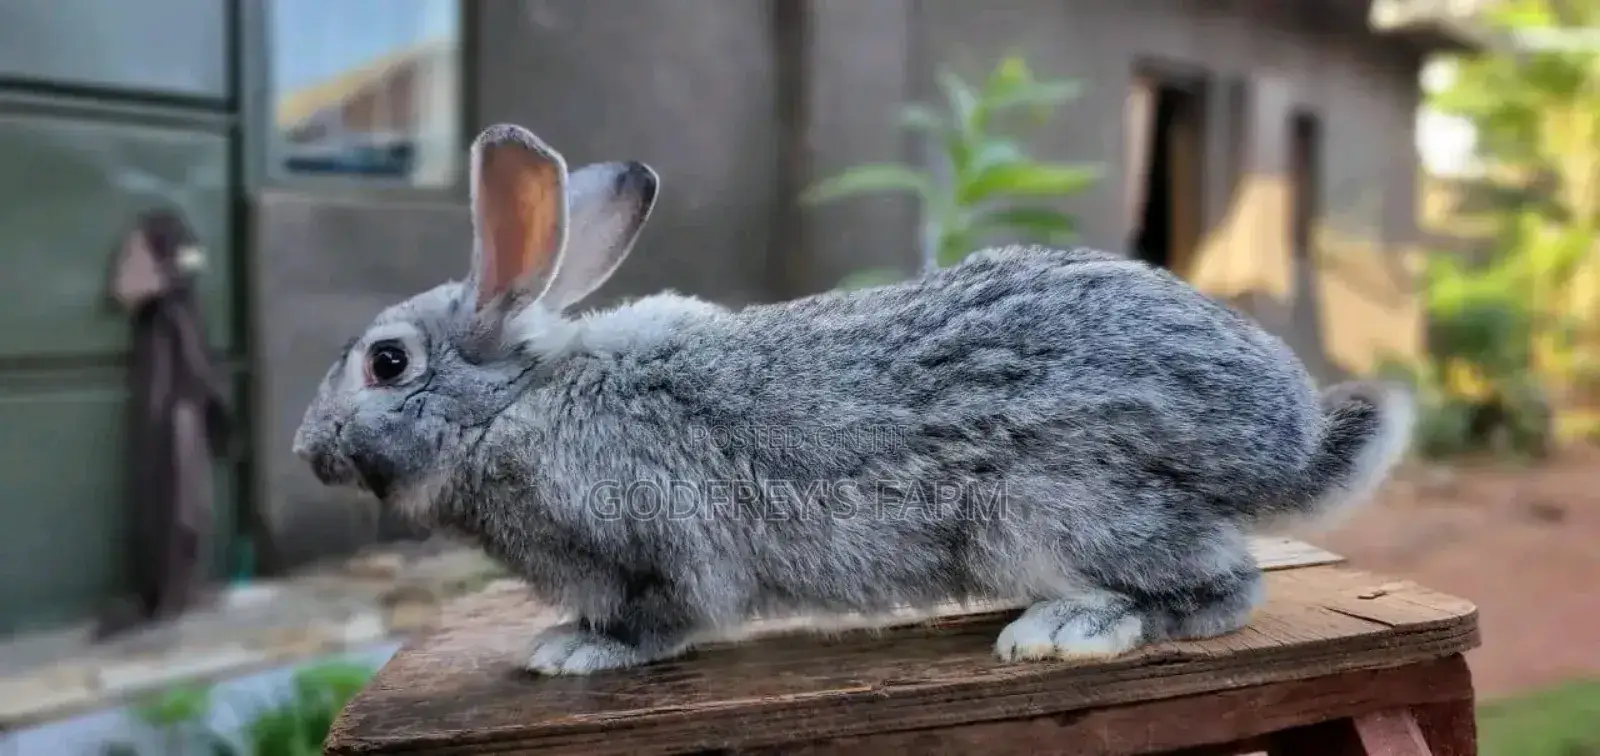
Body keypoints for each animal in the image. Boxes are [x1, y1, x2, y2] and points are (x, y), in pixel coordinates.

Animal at [292, 123, 1415, 676]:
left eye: (385, 363)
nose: (308, 449)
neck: (514, 402)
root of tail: (1280, 446)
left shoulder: (661, 550)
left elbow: (663, 618)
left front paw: (569, 653)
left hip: (1040, 512)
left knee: (1223, 587)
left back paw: (1066, 630)